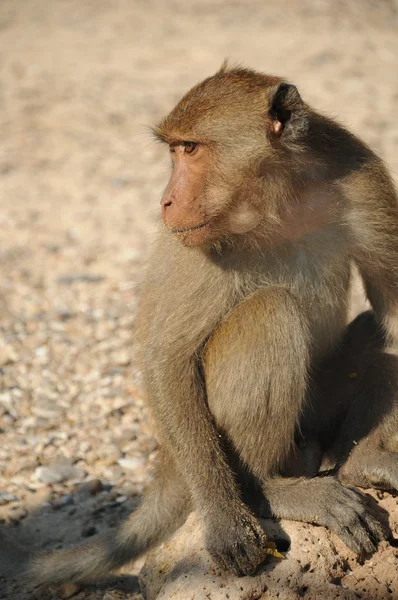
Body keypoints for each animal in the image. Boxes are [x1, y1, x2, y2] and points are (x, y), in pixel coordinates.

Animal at [24, 64, 398, 584]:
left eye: (191, 148)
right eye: (175, 149)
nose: (165, 201)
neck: (279, 200)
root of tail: (167, 462)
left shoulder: (362, 180)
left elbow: (394, 312)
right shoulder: (197, 243)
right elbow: (166, 359)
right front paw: (226, 524)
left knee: (374, 345)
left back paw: (359, 462)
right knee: (272, 313)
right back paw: (268, 490)